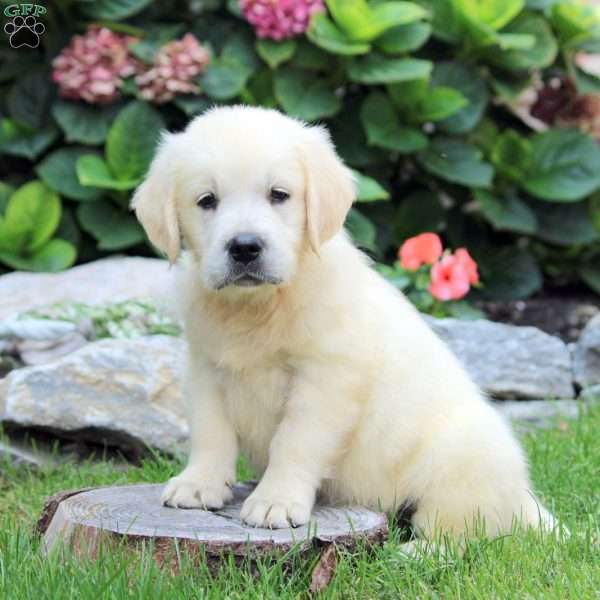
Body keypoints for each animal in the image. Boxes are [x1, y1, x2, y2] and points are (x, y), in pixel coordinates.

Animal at [134, 104, 556, 540]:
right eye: (207, 200)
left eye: (279, 195)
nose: (245, 247)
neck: (258, 305)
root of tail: (526, 502)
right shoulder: (205, 366)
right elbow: (210, 431)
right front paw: (198, 484)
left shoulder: (326, 378)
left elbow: (293, 441)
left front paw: (275, 501)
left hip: (462, 462)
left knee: (458, 533)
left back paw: (411, 552)